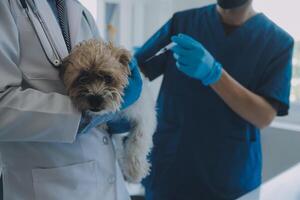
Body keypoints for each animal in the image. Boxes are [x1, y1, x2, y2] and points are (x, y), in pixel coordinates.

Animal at [59, 39, 157, 183]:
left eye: (108, 78)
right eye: (83, 79)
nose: (95, 99)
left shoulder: (145, 114)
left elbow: (137, 140)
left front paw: (134, 170)